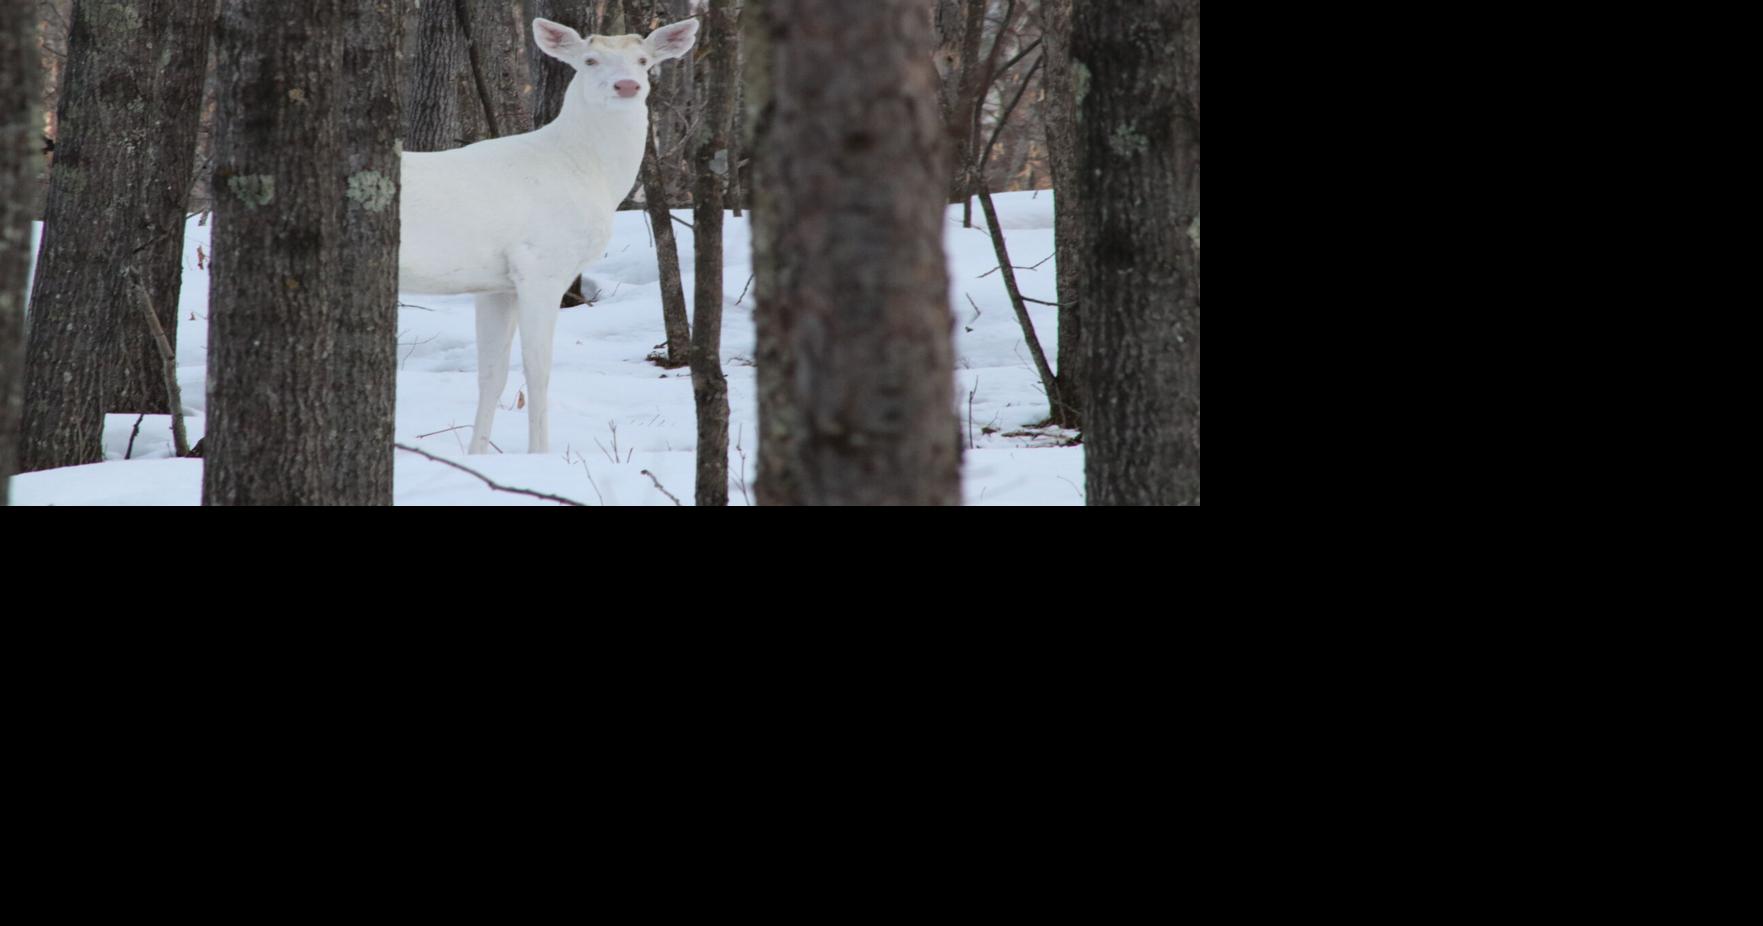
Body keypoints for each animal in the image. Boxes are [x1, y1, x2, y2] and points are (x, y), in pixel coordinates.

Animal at [398, 17, 700, 454]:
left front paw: (477, 456)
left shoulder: (496, 284)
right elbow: (537, 368)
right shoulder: (541, 264)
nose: (627, 85)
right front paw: (539, 454)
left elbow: (491, 374)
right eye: (590, 60)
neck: (588, 173)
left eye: (644, 60)